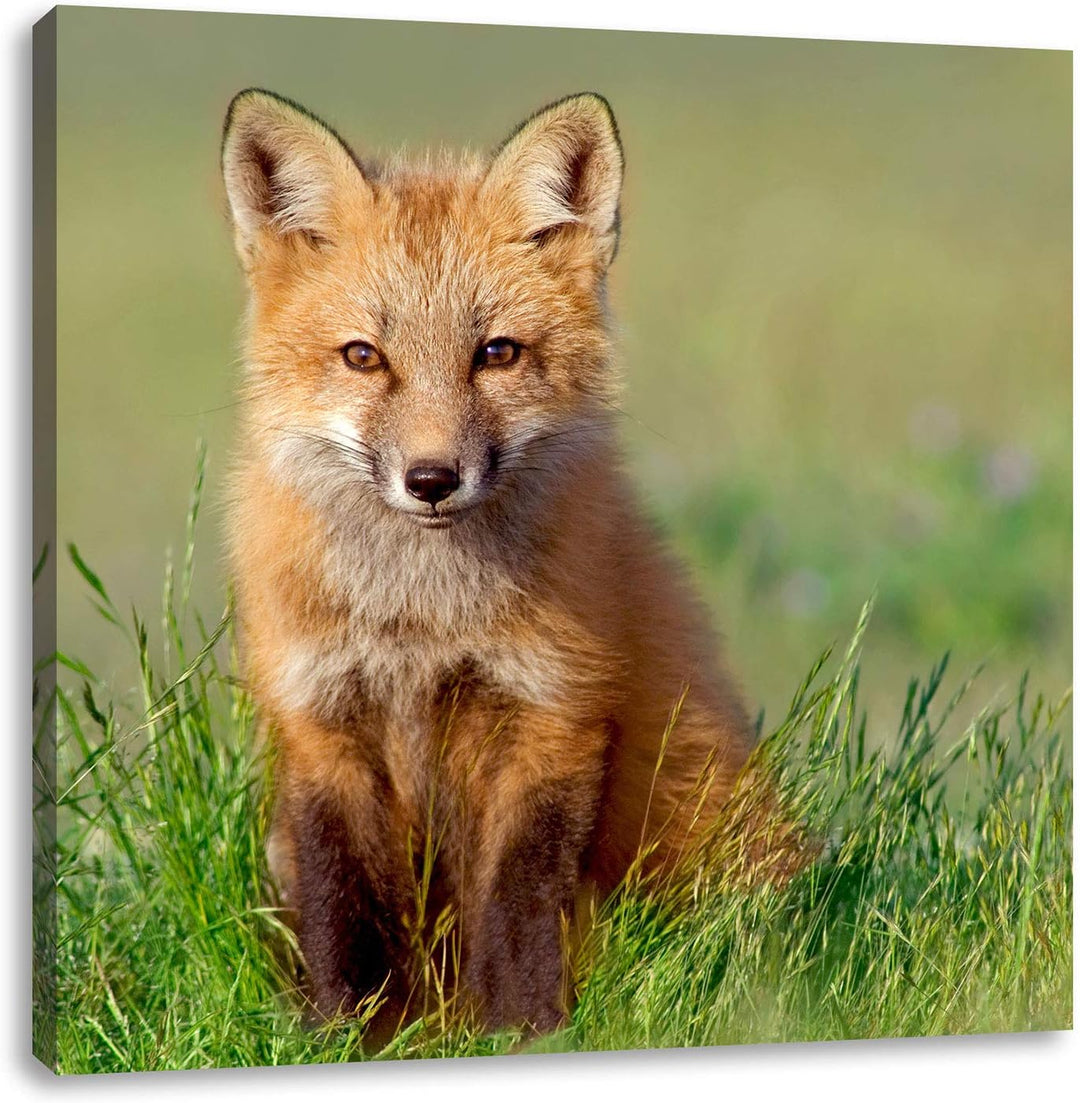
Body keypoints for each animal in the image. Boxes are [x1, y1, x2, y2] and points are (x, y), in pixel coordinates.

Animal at [221, 88, 791, 1043]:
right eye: (363, 356)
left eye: (496, 353)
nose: (431, 479)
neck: (420, 621)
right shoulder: (319, 720)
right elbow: (342, 907)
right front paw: (344, 1037)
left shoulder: (551, 711)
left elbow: (517, 906)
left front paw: (522, 1033)